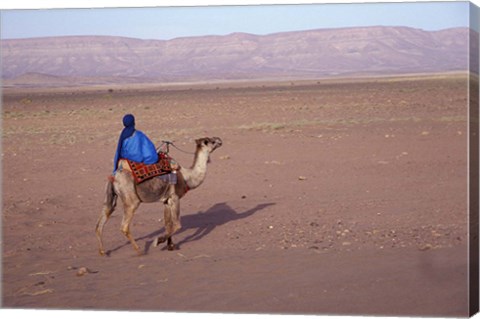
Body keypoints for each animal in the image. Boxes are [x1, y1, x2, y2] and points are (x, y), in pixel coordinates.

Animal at [95, 136, 223, 256]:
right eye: (209, 141)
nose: (219, 140)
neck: (187, 178)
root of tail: (114, 176)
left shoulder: (166, 200)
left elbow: (168, 224)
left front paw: (170, 246)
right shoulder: (175, 198)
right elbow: (177, 225)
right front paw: (158, 241)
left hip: (110, 195)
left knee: (102, 219)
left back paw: (102, 252)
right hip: (131, 198)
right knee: (124, 226)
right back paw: (139, 251)